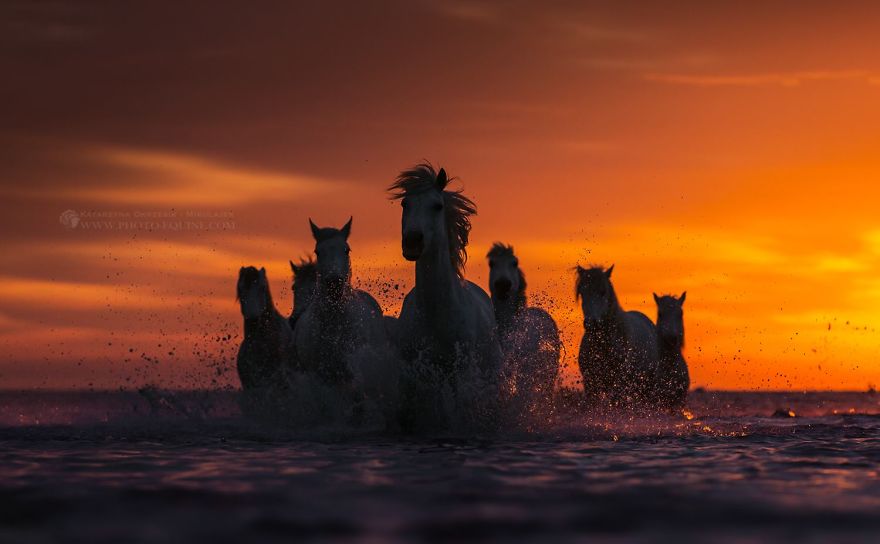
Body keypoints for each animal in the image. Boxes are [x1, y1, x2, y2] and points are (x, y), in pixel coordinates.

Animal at [389, 162, 502, 430]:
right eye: (405, 204)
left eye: (437, 205)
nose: (412, 241)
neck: (436, 315)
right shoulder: (414, 374)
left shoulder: (458, 372)